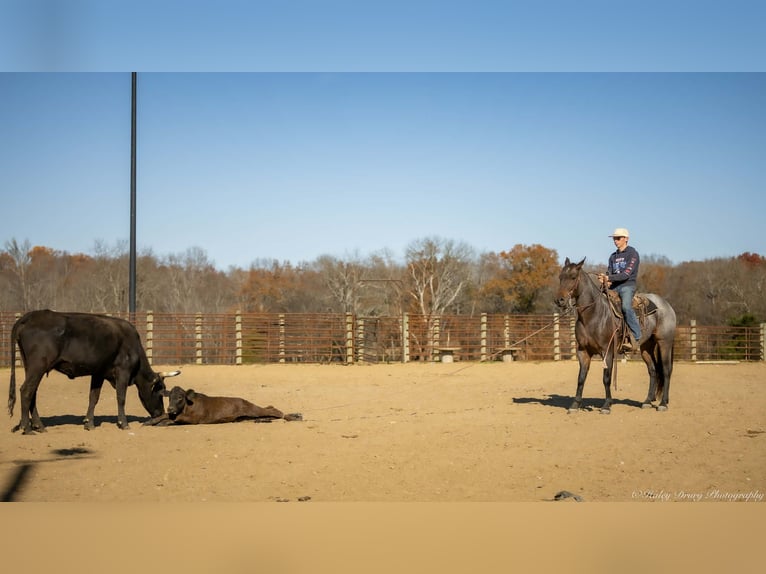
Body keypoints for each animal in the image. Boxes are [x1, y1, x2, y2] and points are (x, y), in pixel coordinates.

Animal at [554, 257, 677, 414]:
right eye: (560, 277)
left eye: (573, 277)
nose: (559, 300)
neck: (594, 314)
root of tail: (666, 305)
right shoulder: (583, 351)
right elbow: (581, 378)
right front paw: (575, 405)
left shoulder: (607, 351)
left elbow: (606, 377)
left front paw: (607, 405)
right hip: (646, 347)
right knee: (653, 370)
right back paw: (647, 401)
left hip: (664, 342)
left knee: (666, 370)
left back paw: (663, 403)